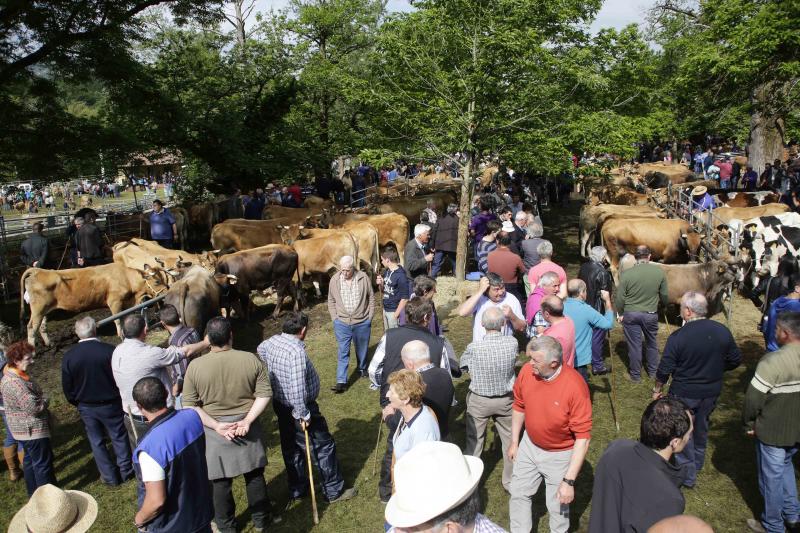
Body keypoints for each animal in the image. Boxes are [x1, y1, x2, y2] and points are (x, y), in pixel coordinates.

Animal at [21, 262, 164, 344]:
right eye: (157, 281)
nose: (166, 291)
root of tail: (38, 270)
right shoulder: (115, 301)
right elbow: (117, 320)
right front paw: (121, 336)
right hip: (38, 309)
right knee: (31, 328)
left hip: (45, 310)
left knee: (41, 327)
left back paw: (49, 343)